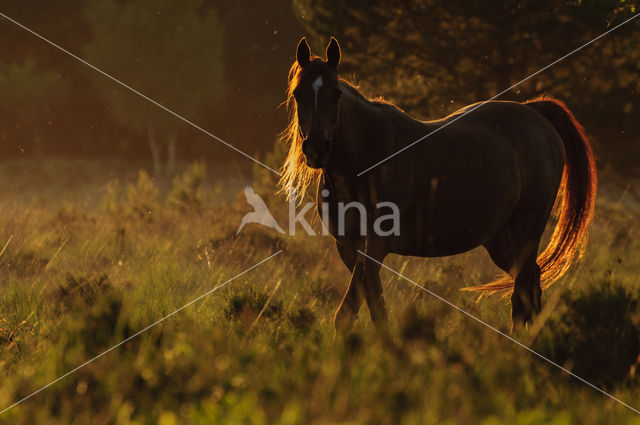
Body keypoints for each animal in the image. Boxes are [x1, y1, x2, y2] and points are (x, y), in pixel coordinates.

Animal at [278, 36, 596, 330]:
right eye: (298, 94)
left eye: (336, 94)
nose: (316, 148)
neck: (366, 158)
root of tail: (536, 113)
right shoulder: (348, 247)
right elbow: (375, 308)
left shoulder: (375, 245)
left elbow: (350, 312)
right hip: (500, 241)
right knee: (529, 286)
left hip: (527, 228)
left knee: (525, 291)